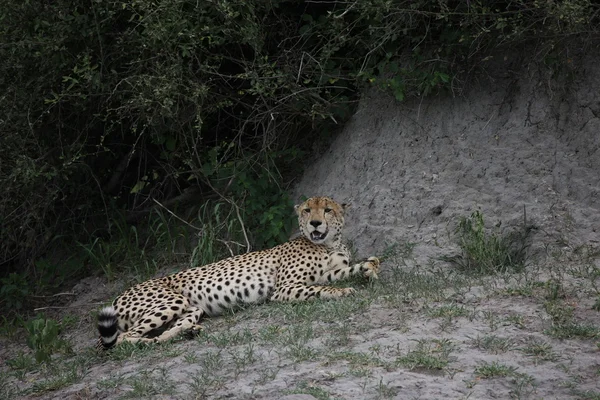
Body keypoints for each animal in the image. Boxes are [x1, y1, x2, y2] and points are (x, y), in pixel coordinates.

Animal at [98, 197, 380, 350]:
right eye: (307, 210)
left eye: (328, 210)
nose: (315, 223)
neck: (329, 243)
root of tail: (118, 295)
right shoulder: (284, 288)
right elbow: (321, 288)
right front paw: (342, 291)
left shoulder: (332, 270)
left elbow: (356, 267)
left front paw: (369, 269)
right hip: (170, 301)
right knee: (121, 339)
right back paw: (152, 342)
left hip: (191, 307)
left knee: (164, 330)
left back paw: (188, 332)